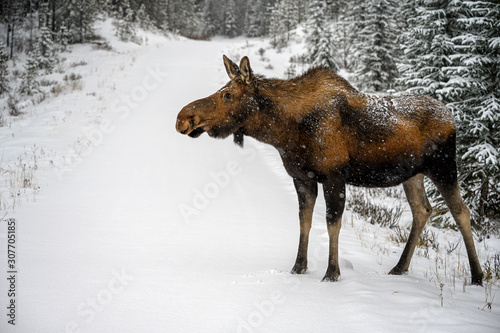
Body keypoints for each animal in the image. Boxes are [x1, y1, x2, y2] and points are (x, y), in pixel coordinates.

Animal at [177, 55, 484, 284]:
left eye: (228, 94)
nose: (183, 118)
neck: (283, 133)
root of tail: (452, 116)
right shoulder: (302, 178)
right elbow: (304, 221)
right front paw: (298, 267)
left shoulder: (334, 176)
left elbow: (332, 222)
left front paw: (331, 272)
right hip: (412, 174)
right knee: (423, 209)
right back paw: (400, 267)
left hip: (443, 166)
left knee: (461, 212)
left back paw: (477, 275)